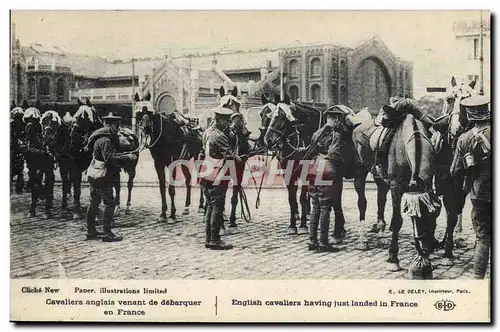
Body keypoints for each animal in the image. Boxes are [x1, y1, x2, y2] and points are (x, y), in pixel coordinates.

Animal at [136, 92, 204, 222]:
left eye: (150, 112)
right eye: (138, 113)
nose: (147, 128)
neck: (164, 136)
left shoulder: (172, 162)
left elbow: (171, 189)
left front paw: (172, 214)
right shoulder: (158, 163)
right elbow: (162, 188)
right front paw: (163, 214)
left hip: (199, 158)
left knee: (201, 179)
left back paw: (201, 206)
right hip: (184, 160)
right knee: (188, 179)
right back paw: (186, 207)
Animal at [262, 93, 320, 233]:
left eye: (283, 117)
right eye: (270, 116)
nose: (268, 140)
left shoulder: (305, 171)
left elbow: (302, 197)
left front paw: (303, 225)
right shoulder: (287, 172)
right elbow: (291, 198)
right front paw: (292, 225)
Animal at [378, 98, 442, 278]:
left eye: (433, 215)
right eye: (416, 218)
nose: (426, 249)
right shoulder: (395, 186)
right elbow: (397, 220)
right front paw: (393, 259)